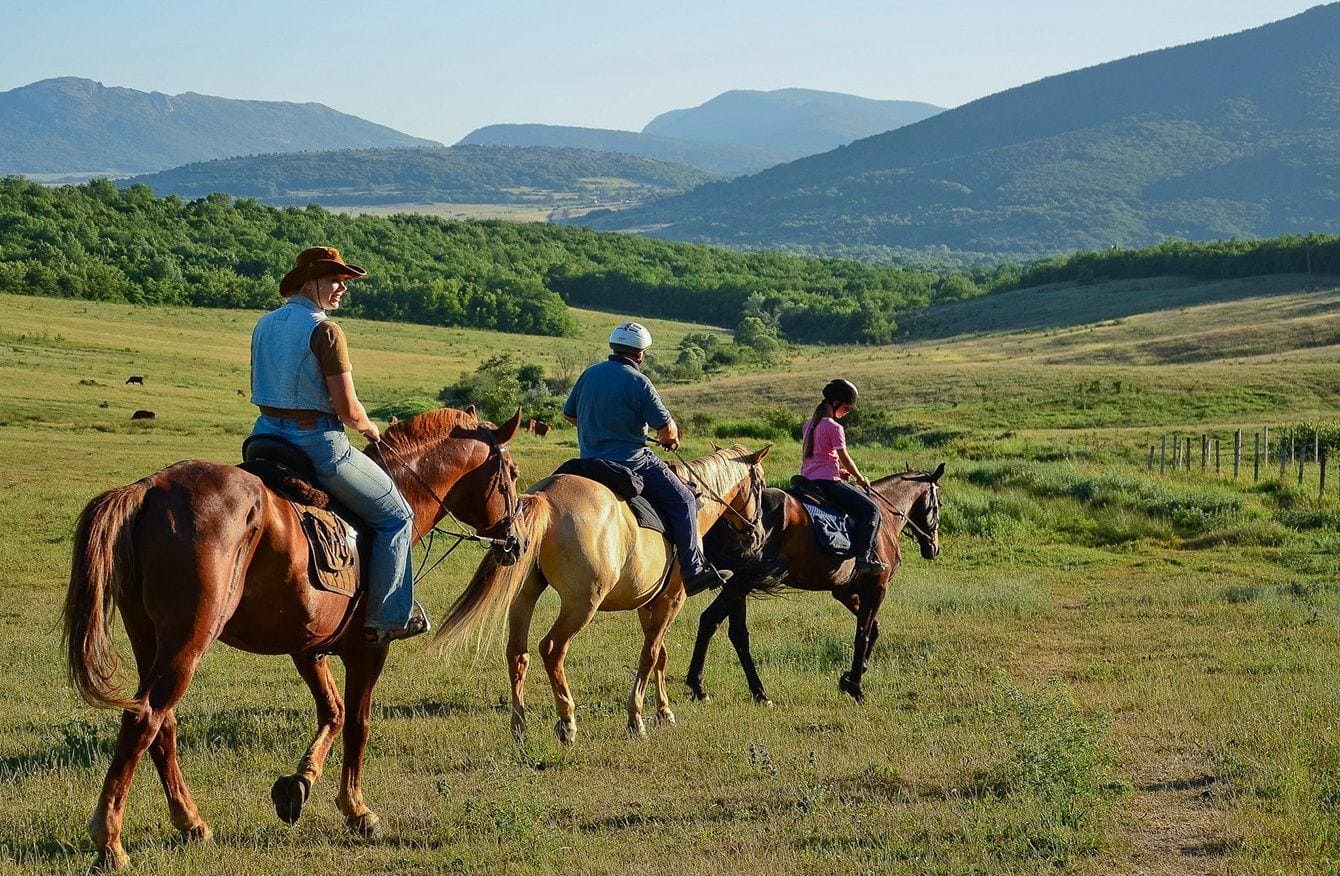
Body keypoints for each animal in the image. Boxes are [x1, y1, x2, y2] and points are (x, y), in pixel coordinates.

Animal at [63, 406, 522, 871]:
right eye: (513, 474)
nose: (515, 541)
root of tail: (149, 489)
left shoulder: (308, 647)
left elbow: (333, 713)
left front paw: (299, 783)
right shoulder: (370, 647)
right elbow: (358, 724)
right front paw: (357, 809)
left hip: (148, 638)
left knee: (161, 724)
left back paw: (190, 822)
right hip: (187, 641)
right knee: (144, 719)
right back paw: (110, 840)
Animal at [434, 444, 770, 744]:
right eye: (760, 486)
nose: (757, 535)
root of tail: (545, 497)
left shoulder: (649, 604)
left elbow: (659, 654)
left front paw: (663, 711)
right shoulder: (672, 599)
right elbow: (649, 656)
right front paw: (636, 719)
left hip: (524, 597)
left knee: (517, 653)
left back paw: (519, 727)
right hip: (582, 604)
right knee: (552, 649)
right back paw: (567, 722)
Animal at [687, 465, 944, 706]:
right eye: (938, 504)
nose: (933, 548)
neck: (884, 516)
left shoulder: (844, 591)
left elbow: (874, 630)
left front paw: (849, 677)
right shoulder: (876, 589)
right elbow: (863, 633)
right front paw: (855, 687)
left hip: (738, 584)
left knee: (731, 631)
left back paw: (749, 692)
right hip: (740, 583)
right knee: (713, 621)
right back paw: (704, 687)